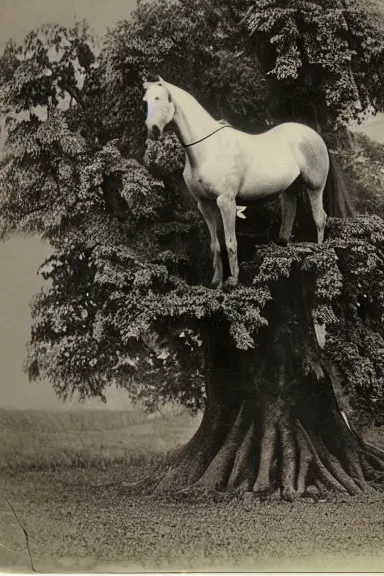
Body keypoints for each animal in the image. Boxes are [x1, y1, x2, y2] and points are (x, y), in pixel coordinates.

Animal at [143, 77, 352, 288]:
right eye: (146, 101)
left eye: (160, 98)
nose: (153, 130)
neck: (207, 149)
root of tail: (315, 136)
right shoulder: (205, 205)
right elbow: (215, 245)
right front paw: (216, 282)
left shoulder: (225, 201)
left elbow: (230, 242)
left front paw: (233, 280)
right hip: (289, 190)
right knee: (289, 216)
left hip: (315, 187)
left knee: (320, 218)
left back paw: (320, 255)